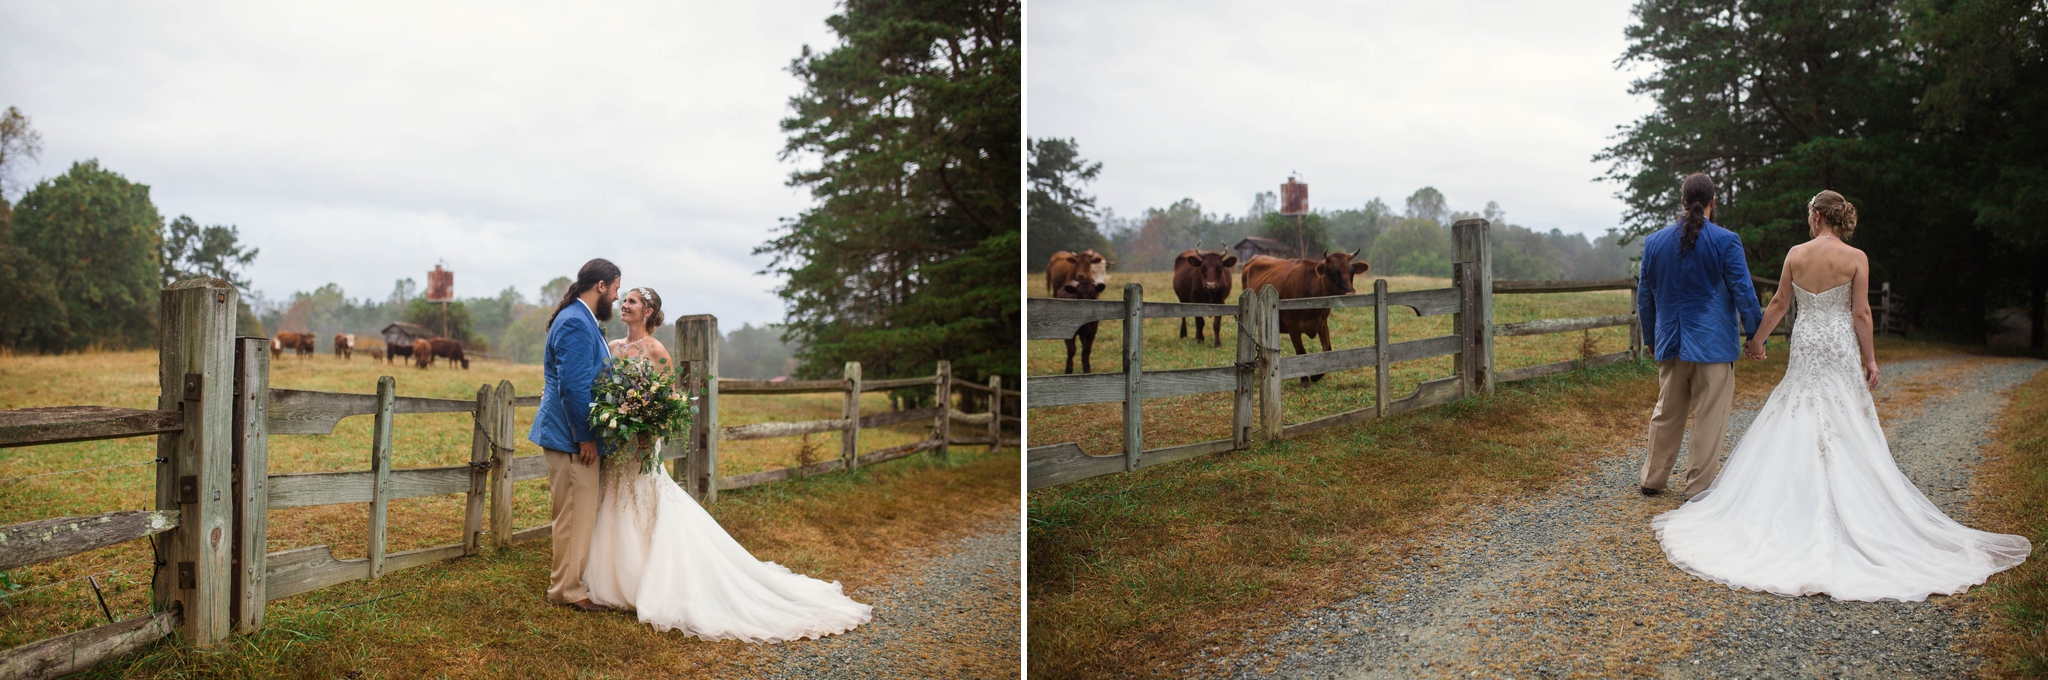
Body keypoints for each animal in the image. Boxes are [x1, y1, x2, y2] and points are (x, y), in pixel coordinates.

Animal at [1236, 250, 1368, 387]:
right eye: (1332, 272)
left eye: (1352, 271)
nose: (1351, 294)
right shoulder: (1292, 326)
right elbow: (1301, 351)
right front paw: (1305, 380)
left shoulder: (1322, 323)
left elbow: (1327, 349)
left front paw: (1316, 376)